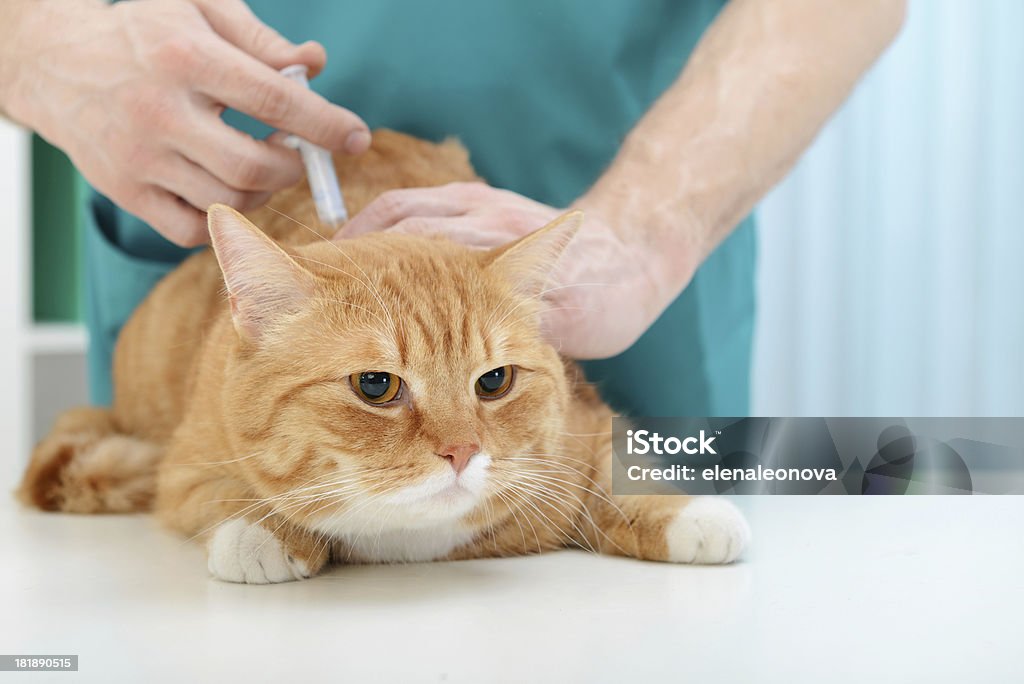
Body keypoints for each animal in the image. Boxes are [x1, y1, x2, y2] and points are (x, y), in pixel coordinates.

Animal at [18, 129, 753, 581]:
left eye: (494, 381)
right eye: (376, 386)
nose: (463, 452)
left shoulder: (588, 427)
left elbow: (622, 471)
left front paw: (689, 512)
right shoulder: (183, 472)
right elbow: (234, 497)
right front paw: (263, 534)